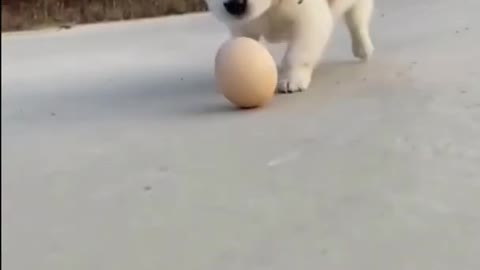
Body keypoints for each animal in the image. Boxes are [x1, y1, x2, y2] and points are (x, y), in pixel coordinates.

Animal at [205, 0, 376, 93]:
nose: (235, 5)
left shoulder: (311, 20)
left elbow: (296, 54)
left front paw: (291, 79)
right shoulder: (242, 29)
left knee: (357, 20)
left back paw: (362, 48)